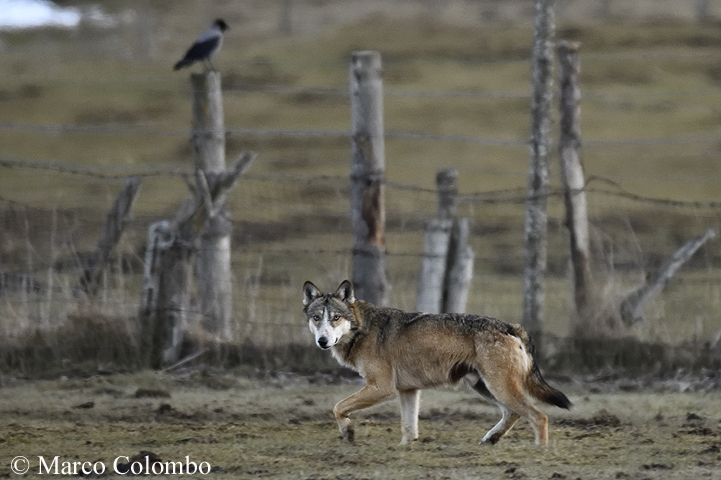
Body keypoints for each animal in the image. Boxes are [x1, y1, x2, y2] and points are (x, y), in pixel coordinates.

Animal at [300, 282, 572, 446]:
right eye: (317, 318)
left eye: (336, 318)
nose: (322, 341)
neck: (362, 330)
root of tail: (511, 326)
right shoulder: (408, 391)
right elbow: (409, 430)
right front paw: (406, 448)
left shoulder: (382, 388)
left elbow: (338, 407)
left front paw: (348, 433)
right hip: (486, 388)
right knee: (514, 413)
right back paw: (491, 439)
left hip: (499, 388)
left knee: (539, 416)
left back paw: (538, 451)